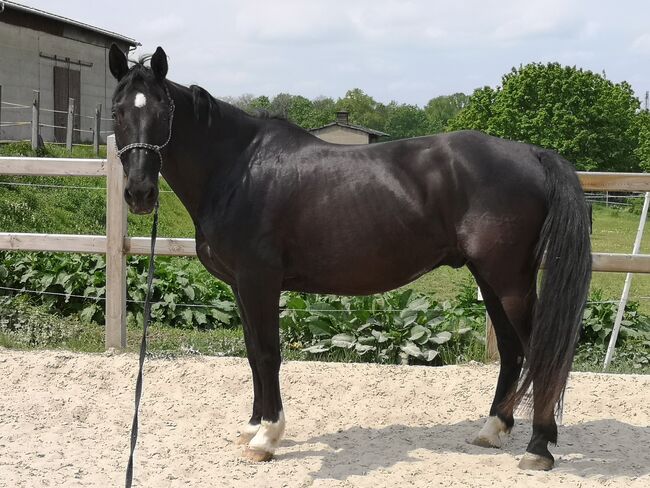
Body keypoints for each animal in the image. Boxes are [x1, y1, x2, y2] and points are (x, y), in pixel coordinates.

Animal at [110, 46, 588, 472]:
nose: (139, 193)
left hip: (510, 281)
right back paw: (493, 430)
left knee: (541, 351)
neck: (238, 168)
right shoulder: (240, 286)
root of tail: (532, 153)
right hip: (490, 279)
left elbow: (267, 353)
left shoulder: (258, 280)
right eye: (117, 111)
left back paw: (539, 448)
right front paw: (252, 427)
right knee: (511, 349)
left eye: (163, 111)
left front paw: (267, 437)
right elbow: (250, 353)